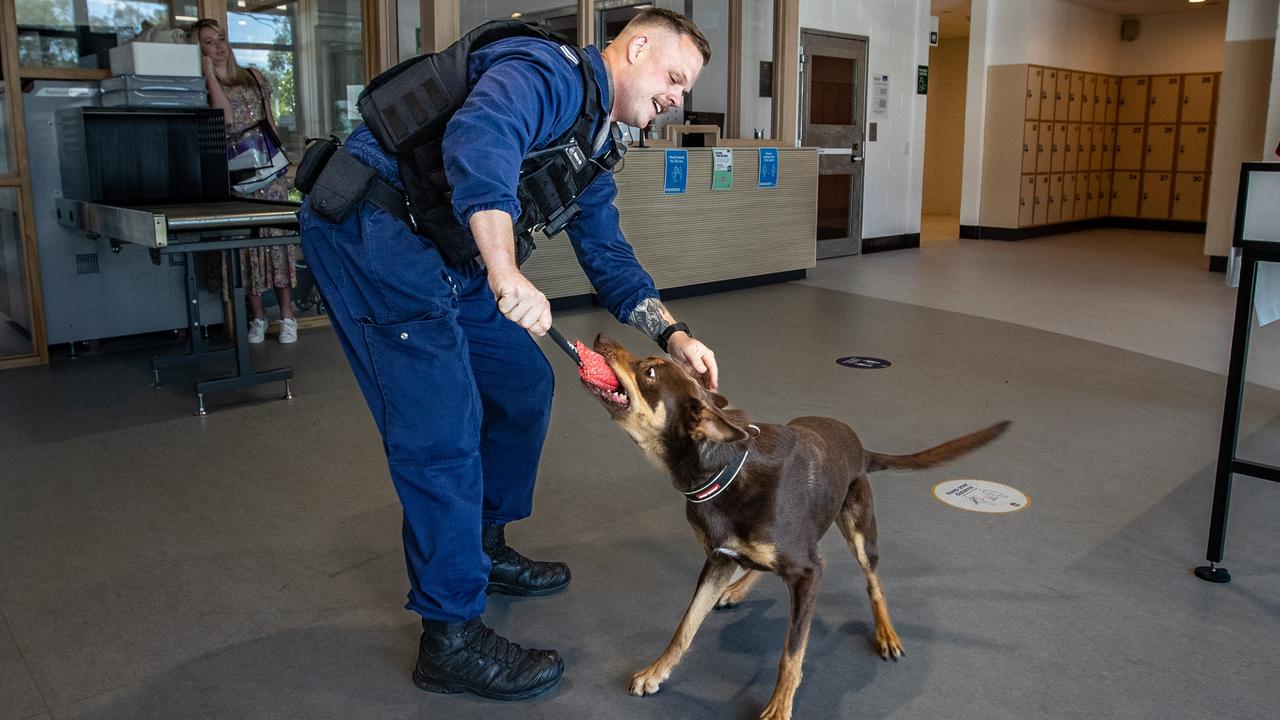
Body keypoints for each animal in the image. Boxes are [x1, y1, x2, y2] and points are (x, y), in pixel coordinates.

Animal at [581, 333, 1008, 712]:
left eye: (650, 371)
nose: (600, 338)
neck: (722, 471)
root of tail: (860, 447)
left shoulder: (807, 574)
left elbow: (791, 654)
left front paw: (779, 706)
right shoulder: (719, 560)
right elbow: (685, 627)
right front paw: (656, 671)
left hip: (859, 531)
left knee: (873, 583)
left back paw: (885, 632)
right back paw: (739, 588)